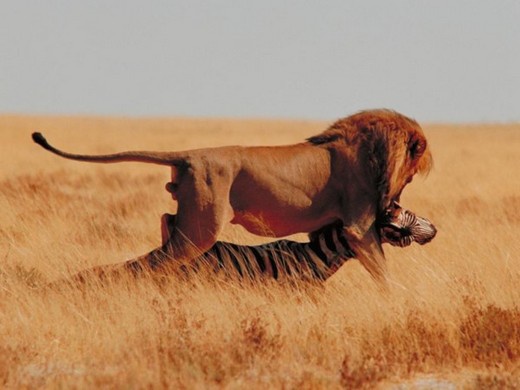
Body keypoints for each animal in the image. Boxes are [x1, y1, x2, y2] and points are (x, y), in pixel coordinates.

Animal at [30, 108, 432, 282]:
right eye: (412, 176)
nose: (394, 203)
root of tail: (189, 155)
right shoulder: (358, 226)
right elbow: (383, 275)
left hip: (192, 221)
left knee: (163, 227)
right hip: (203, 227)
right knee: (155, 260)